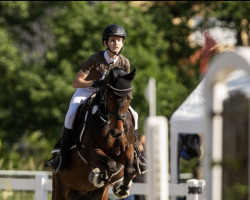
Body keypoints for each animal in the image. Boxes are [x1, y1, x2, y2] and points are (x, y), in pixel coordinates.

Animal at [52, 67, 138, 200]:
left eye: (130, 98)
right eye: (110, 96)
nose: (117, 132)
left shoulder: (127, 148)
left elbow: (129, 168)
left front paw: (121, 189)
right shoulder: (90, 150)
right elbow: (111, 164)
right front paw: (98, 176)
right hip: (59, 189)